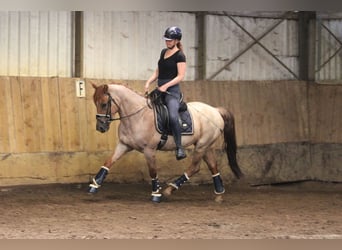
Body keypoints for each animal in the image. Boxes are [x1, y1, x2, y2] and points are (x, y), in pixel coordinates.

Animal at [88, 83, 243, 202]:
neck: (138, 116)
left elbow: (152, 171)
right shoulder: (124, 145)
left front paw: (156, 194)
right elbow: (108, 162)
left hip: (201, 146)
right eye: (95, 103)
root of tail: (215, 110)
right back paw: (219, 195)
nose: (100, 127)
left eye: (104, 104)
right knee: (213, 167)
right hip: (206, 146)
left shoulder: (149, 150)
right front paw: (94, 185)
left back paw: (170, 189)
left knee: (195, 167)